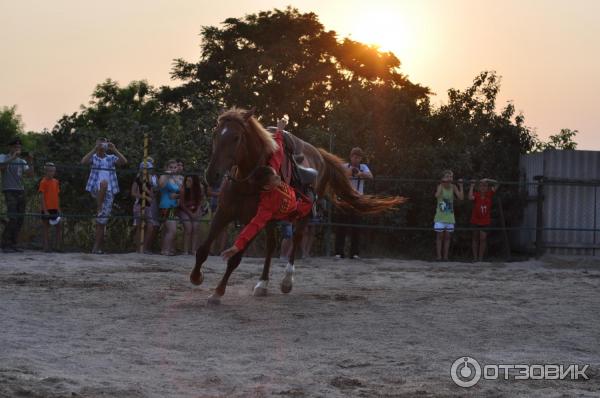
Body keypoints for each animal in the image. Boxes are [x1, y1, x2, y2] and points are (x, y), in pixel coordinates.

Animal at [190, 107, 406, 304]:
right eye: (216, 134)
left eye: (235, 137)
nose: (212, 175)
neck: (247, 182)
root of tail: (320, 155)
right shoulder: (224, 212)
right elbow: (202, 249)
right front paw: (196, 277)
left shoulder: (254, 220)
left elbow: (235, 258)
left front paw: (218, 292)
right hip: (272, 220)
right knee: (272, 245)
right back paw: (262, 284)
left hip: (304, 216)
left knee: (296, 241)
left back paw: (287, 281)